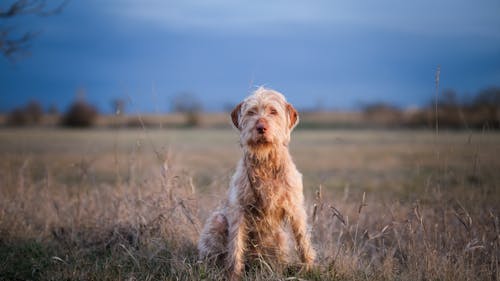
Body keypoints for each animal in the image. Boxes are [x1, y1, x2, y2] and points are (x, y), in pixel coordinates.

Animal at [197, 87, 314, 278]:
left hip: (280, 238)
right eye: (251, 112)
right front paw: (234, 275)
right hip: (218, 221)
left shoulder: (295, 208)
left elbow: (303, 240)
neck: (265, 162)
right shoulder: (239, 211)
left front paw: (310, 269)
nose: (261, 127)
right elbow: (236, 245)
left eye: (273, 111)